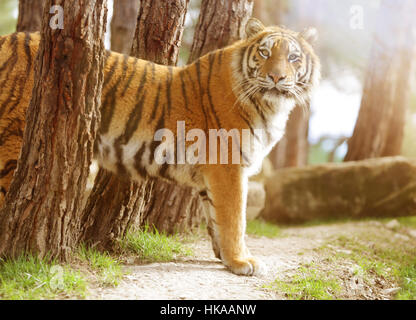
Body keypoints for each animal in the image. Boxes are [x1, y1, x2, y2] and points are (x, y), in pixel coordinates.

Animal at [0, 18, 322, 276]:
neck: (271, 105)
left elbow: (216, 218)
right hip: (11, 144)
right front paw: (242, 262)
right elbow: (234, 218)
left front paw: (225, 258)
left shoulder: (213, 176)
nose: (277, 77)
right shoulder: (228, 167)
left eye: (293, 57)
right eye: (265, 52)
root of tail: (8, 39)